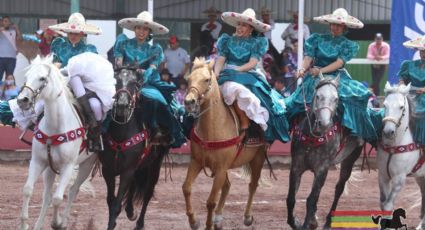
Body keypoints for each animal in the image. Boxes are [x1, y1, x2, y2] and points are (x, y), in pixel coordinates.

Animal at [17, 56, 97, 230]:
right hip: (50, 168)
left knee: (73, 191)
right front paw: (24, 223)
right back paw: (38, 225)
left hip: (87, 165)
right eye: (26, 76)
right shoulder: (38, 161)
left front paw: (57, 222)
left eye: (42, 78)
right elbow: (27, 190)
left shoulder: (67, 166)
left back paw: (64, 221)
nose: (22, 100)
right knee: (47, 196)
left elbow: (58, 198)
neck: (55, 126)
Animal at [100, 67, 169, 229]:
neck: (121, 135)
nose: (122, 105)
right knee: (133, 186)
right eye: (116, 81)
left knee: (148, 193)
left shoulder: (127, 171)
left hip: (154, 165)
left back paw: (139, 223)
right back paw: (130, 211)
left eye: (134, 83)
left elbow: (116, 204)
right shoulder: (108, 170)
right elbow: (111, 201)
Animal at [183, 58, 268, 230]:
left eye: (206, 80)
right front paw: (194, 221)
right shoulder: (197, 162)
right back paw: (218, 220)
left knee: (252, 185)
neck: (212, 129)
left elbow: (210, 202)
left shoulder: (221, 168)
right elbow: (187, 188)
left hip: (258, 159)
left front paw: (207, 225)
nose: (189, 102)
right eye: (188, 79)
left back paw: (247, 217)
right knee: (228, 186)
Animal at [288, 76, 364, 230]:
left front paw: (307, 224)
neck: (313, 138)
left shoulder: (322, 170)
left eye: (336, 99)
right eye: (318, 96)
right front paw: (297, 222)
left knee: (339, 189)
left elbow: (311, 199)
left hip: (350, 159)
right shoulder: (296, 166)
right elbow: (291, 198)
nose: (324, 123)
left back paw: (328, 221)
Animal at [376, 82, 424, 228]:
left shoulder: (399, 179)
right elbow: (383, 204)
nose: (388, 131)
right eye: (384, 105)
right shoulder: (383, 176)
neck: (395, 146)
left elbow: (388, 205)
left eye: (401, 107)